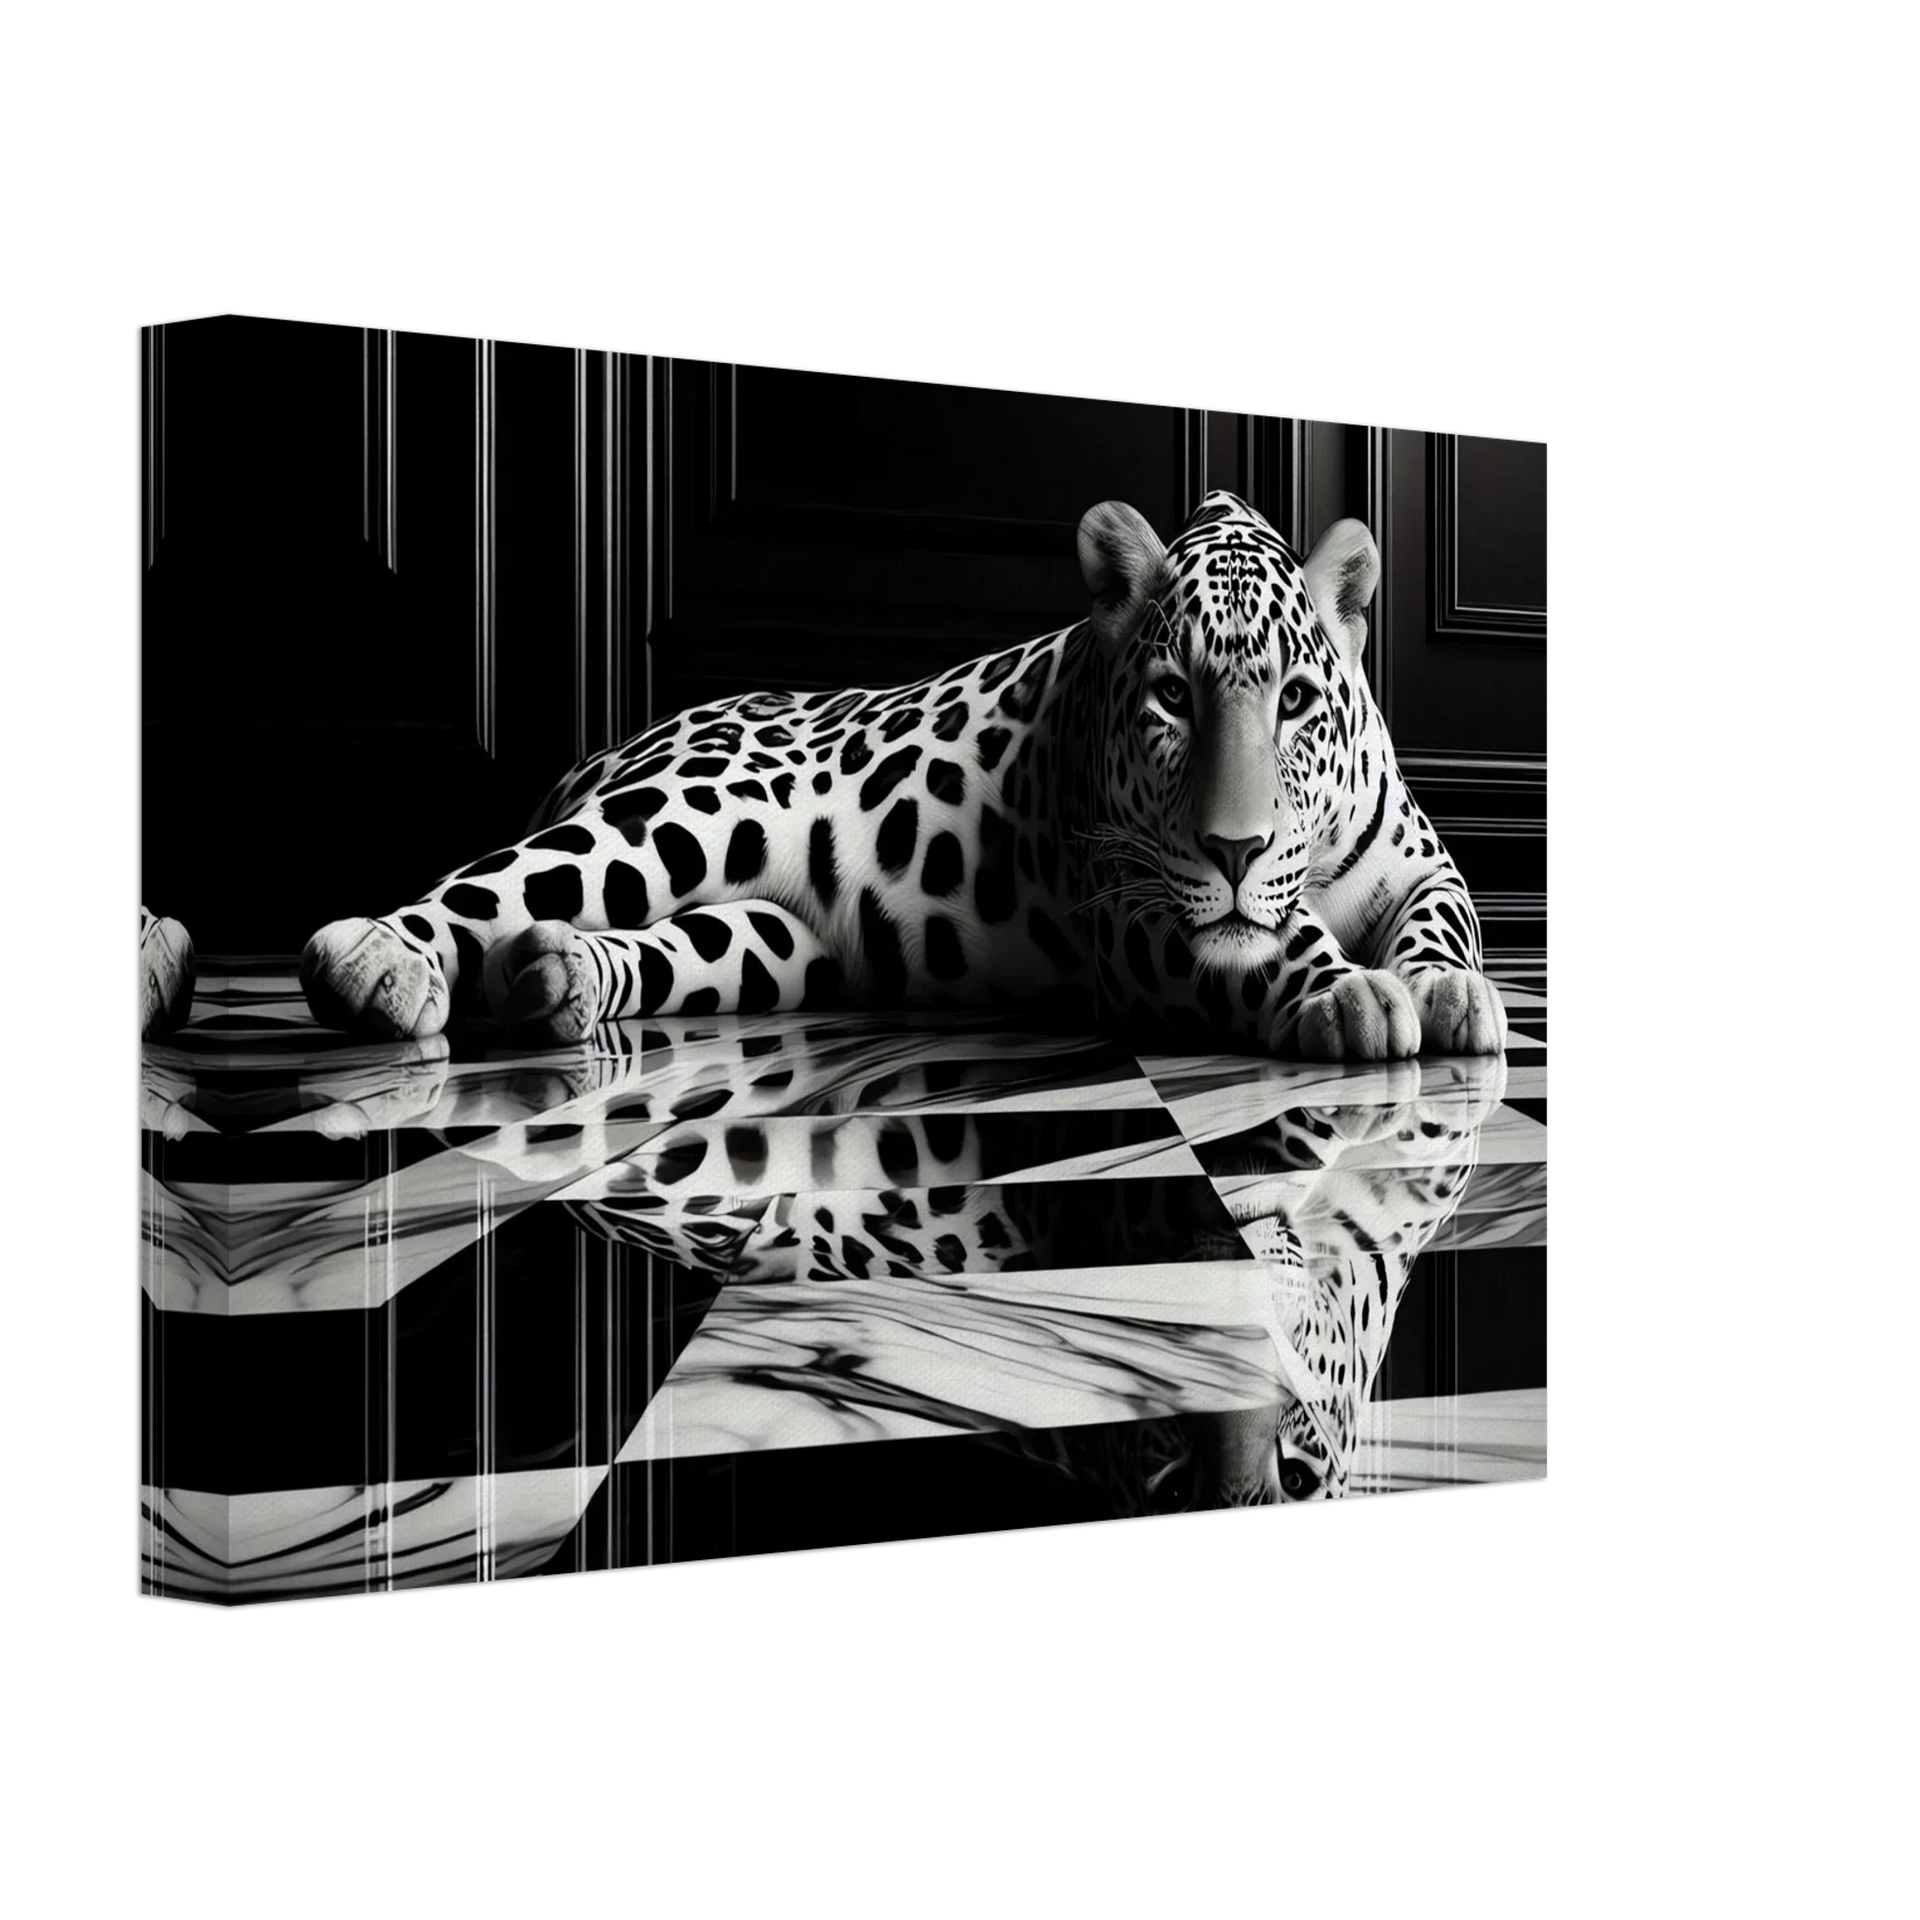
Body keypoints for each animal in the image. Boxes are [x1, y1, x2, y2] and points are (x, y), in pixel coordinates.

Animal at [285, 490, 1506, 1062]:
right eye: (1172, 696)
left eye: (1295, 700)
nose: (1237, 849)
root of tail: (614, 744)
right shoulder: (1140, 912)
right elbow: (1274, 940)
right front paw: (1349, 991)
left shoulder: (1424, 862)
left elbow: (1441, 922)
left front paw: (1445, 989)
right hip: (691, 809)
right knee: (500, 880)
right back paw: (376, 962)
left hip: (776, 941)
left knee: (657, 937)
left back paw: (559, 977)